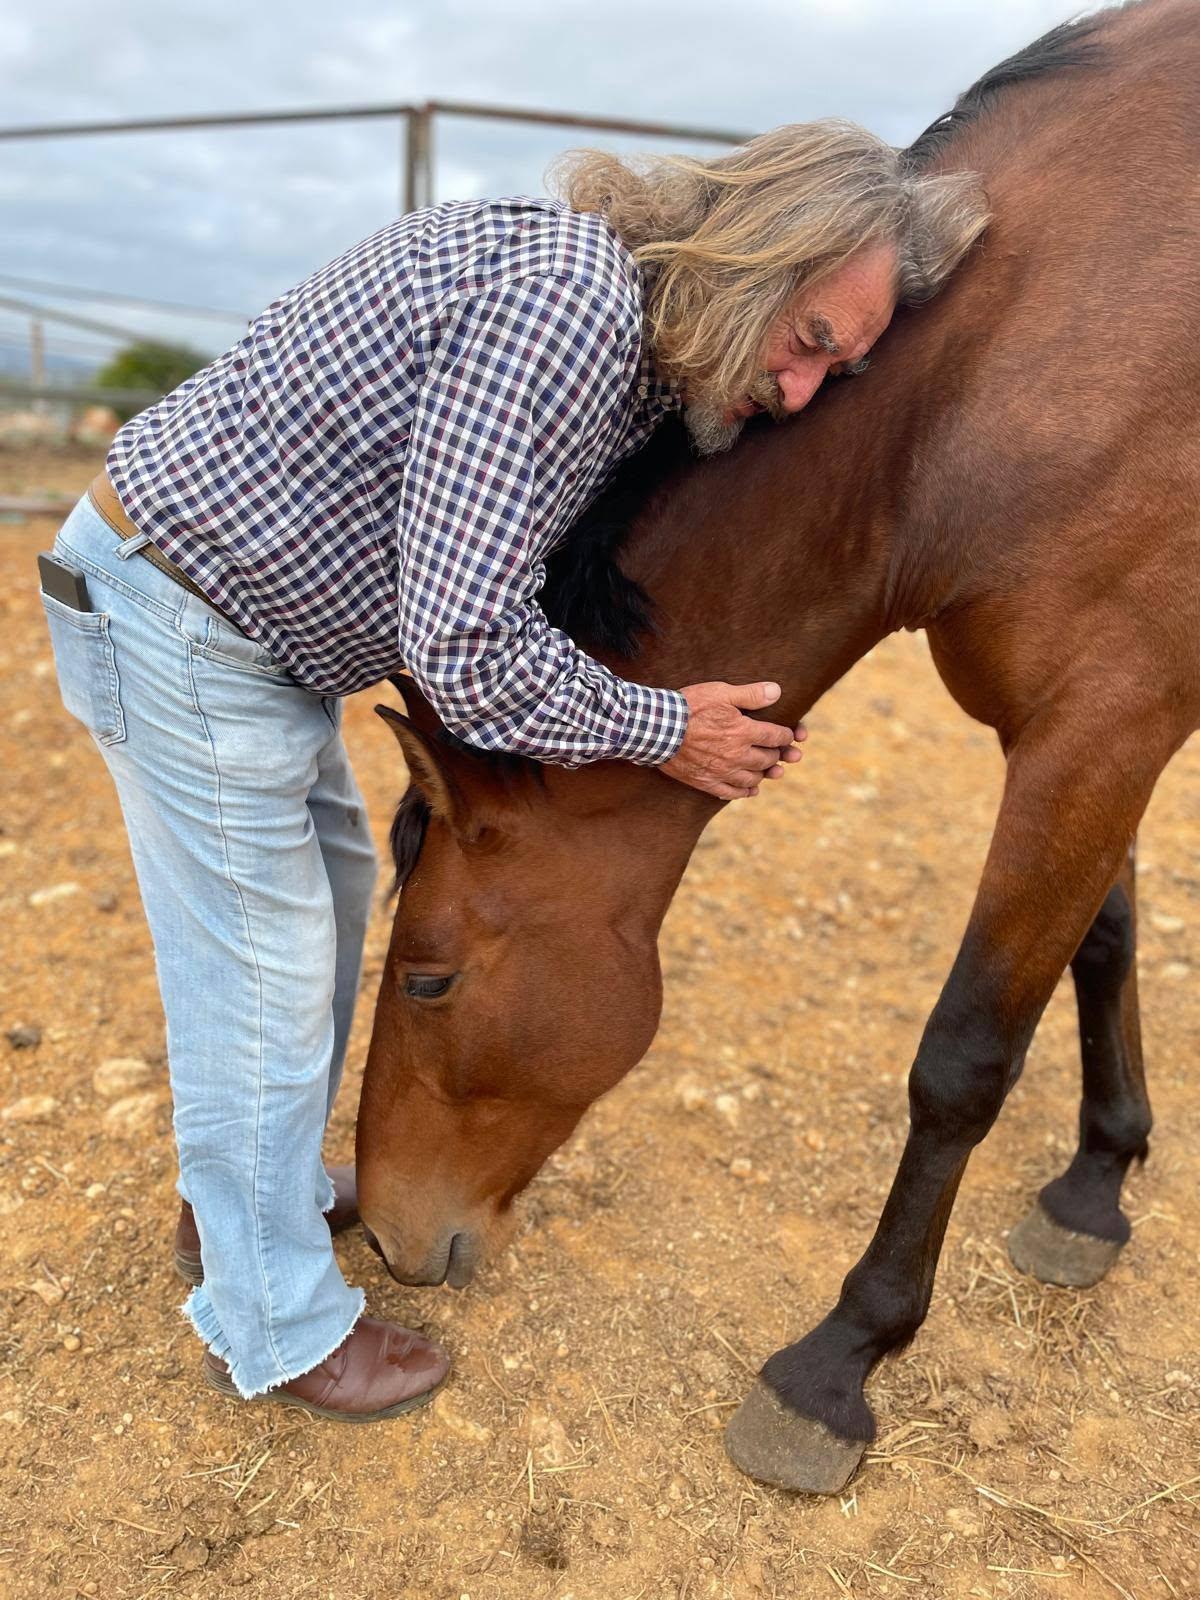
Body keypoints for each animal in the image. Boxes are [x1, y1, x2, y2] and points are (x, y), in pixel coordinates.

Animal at [356, 0, 1200, 1493]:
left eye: (429, 981)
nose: (380, 1232)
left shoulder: (1106, 719)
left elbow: (966, 1055)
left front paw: (838, 1365)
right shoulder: (1088, 731)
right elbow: (1100, 942)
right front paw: (1096, 1190)